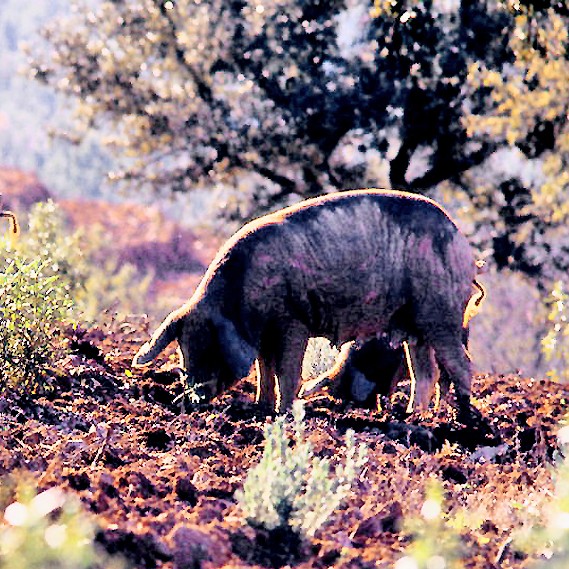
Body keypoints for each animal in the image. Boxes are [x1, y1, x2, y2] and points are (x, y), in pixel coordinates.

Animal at [132, 190, 480, 422]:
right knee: (426, 371)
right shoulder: (265, 335)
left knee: (461, 364)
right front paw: (261, 408)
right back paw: (413, 418)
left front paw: (284, 414)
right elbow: (265, 370)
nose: (190, 402)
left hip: (441, 313)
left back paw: (462, 419)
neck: (241, 298)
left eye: (209, 350)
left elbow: (287, 371)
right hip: (415, 324)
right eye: (184, 353)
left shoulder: (291, 323)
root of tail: (463, 245)